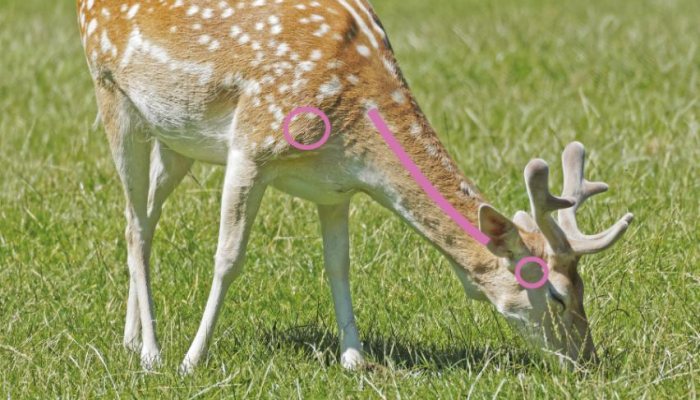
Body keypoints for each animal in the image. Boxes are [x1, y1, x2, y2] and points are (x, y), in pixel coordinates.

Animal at [76, 0, 633, 374]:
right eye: (557, 295)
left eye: (585, 289)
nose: (589, 361)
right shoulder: (252, 144)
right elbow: (228, 258)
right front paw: (193, 360)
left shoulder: (335, 189)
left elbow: (339, 265)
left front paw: (354, 359)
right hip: (112, 95)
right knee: (135, 224)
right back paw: (152, 354)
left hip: (175, 138)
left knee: (139, 219)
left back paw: (130, 340)